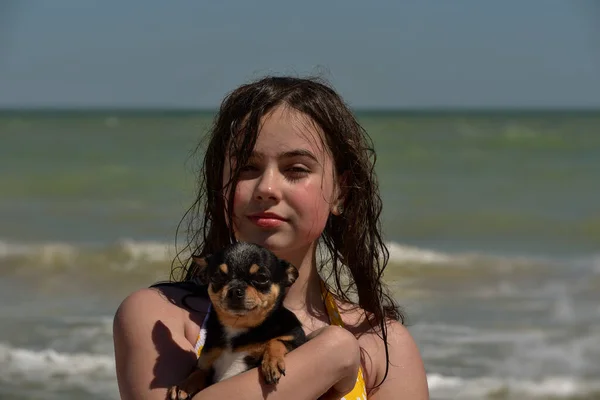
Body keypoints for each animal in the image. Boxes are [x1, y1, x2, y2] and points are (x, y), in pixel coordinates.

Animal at [169, 242, 308, 398]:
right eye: (217, 277)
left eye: (262, 278)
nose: (235, 290)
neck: (236, 326)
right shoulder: (207, 361)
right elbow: (199, 371)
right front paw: (184, 386)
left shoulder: (297, 336)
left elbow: (276, 340)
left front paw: (272, 362)